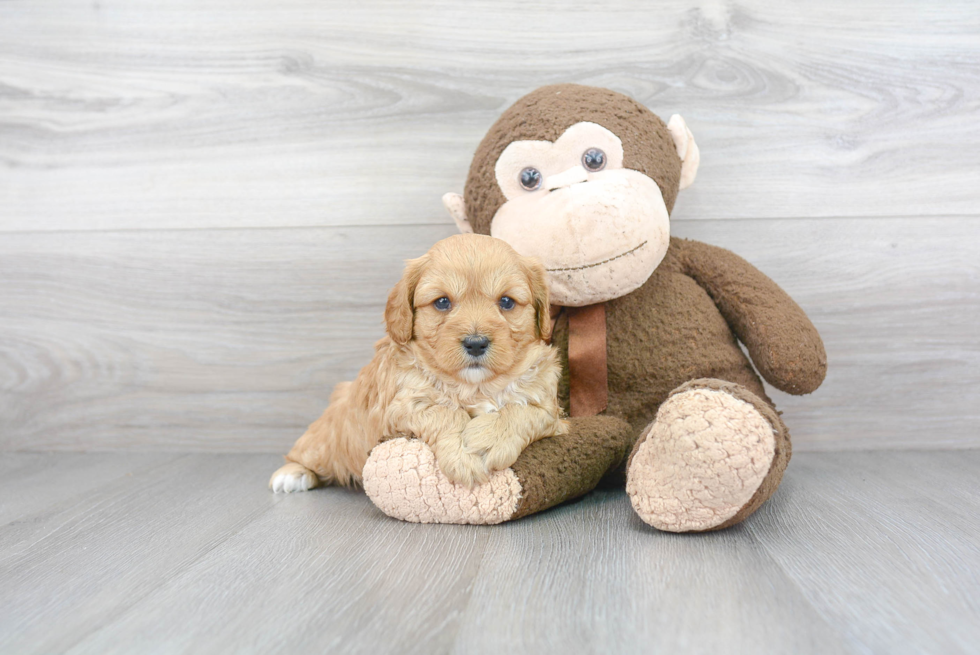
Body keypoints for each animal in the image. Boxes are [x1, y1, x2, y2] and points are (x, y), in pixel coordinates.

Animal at [268, 233, 568, 494]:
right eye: (442, 302)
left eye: (506, 301)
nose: (475, 343)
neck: (475, 386)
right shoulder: (402, 406)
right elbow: (444, 412)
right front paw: (462, 455)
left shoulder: (550, 408)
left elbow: (522, 411)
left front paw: (488, 439)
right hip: (326, 441)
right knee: (305, 452)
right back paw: (291, 474)